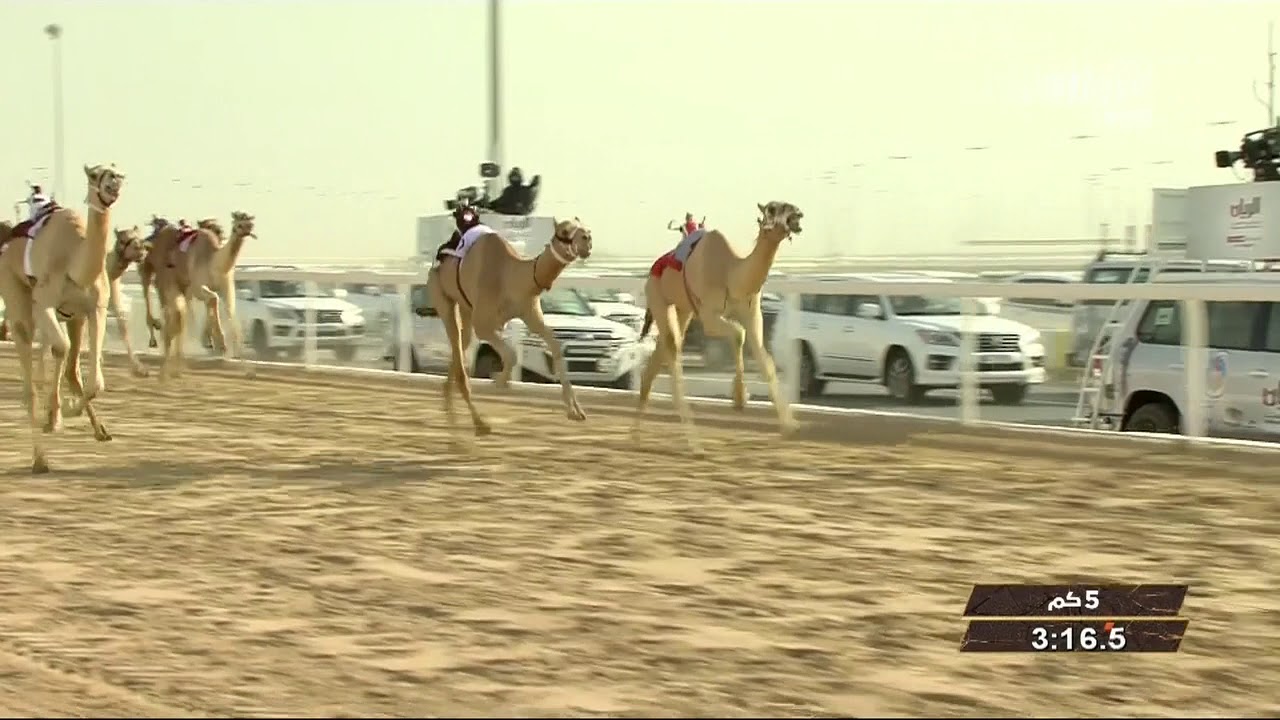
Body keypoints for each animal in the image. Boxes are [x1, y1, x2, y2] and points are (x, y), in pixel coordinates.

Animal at [0, 163, 125, 474]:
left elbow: (94, 381)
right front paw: (63, 410)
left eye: (117, 171)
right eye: (95, 174)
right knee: (30, 383)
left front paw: (69, 411)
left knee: (66, 365)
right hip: (18, 301)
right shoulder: (43, 302)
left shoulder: (94, 309)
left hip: (70, 316)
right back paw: (40, 459)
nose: (114, 182)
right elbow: (61, 348)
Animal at [139, 211, 255, 380]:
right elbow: (213, 299)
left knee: (178, 317)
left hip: (177, 284)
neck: (214, 263)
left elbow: (230, 315)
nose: (248, 228)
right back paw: (158, 342)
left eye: (249, 222)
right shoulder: (196, 287)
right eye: (239, 223)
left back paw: (175, 365)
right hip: (156, 273)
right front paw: (219, 343)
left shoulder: (225, 288)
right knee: (157, 300)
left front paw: (247, 370)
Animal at [427, 217, 594, 435]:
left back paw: (451, 412)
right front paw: (498, 381)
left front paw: (575, 411)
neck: (513, 276)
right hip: (442, 297)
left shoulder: (530, 314)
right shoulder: (485, 324)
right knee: (458, 350)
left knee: (461, 348)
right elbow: (512, 355)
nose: (587, 239)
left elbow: (556, 347)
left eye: (583, 227)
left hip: (466, 308)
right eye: (565, 231)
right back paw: (479, 423)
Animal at [635, 201, 804, 447]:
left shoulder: (752, 313)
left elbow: (766, 361)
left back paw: (634, 435)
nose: (798, 214)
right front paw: (739, 399)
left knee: (658, 359)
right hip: (657, 295)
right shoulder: (709, 316)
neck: (731, 273)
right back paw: (694, 443)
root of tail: (652, 270)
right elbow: (738, 333)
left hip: (683, 309)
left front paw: (790, 426)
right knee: (673, 352)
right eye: (773, 209)